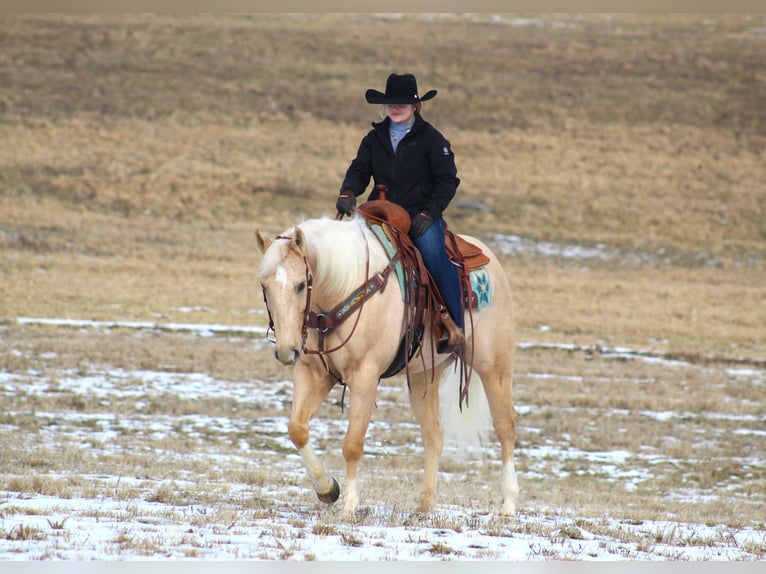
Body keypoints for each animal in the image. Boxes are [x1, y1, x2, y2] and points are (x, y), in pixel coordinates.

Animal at [255, 214, 520, 520]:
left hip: (494, 367)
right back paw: (425, 504)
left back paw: (508, 504)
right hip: (423, 378)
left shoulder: (365, 377)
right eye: (265, 287)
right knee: (434, 435)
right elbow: (297, 429)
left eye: (301, 285)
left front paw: (349, 506)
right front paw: (327, 489)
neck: (344, 288)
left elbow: (352, 444)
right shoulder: (314, 373)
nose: (287, 350)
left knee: (505, 426)